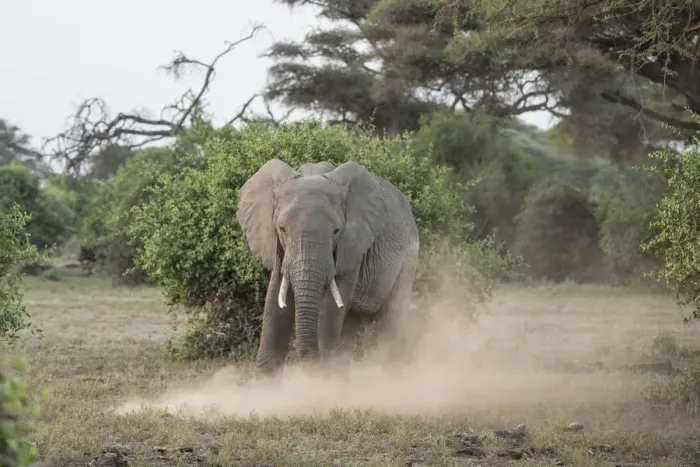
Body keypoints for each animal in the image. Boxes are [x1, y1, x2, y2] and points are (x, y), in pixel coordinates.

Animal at [236, 158, 420, 376]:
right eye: (282, 229)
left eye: (336, 231)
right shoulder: (278, 248)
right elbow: (275, 306)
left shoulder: (352, 247)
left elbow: (330, 311)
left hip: (409, 257)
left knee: (391, 323)